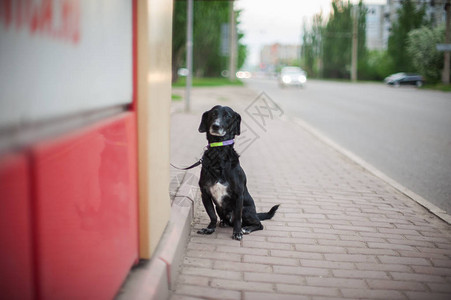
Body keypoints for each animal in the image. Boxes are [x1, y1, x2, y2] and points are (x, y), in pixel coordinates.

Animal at [198, 105, 278, 241]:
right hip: (219, 208)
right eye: (213, 114)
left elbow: (237, 219)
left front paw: (237, 232)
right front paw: (210, 229)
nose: (215, 126)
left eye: (227, 116)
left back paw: (246, 229)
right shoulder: (205, 193)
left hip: (246, 210)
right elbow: (212, 215)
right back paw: (224, 223)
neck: (219, 152)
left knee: (259, 224)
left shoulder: (238, 195)